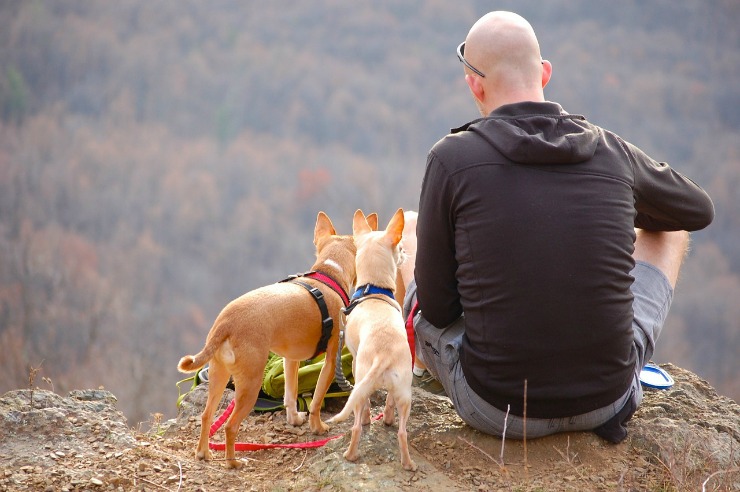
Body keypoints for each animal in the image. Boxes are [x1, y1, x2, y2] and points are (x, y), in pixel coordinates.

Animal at [176, 212, 356, 468]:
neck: (328, 275)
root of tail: (226, 323)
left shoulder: (291, 359)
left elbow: (290, 394)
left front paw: (295, 419)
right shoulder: (332, 359)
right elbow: (317, 400)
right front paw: (318, 427)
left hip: (219, 375)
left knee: (206, 415)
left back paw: (204, 453)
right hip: (250, 384)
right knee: (230, 426)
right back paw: (233, 462)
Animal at [328, 209, 420, 470]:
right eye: (400, 248)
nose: (406, 254)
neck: (374, 290)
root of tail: (383, 355)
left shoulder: (353, 359)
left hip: (361, 382)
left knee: (357, 424)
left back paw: (351, 454)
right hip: (404, 393)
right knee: (401, 430)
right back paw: (407, 462)